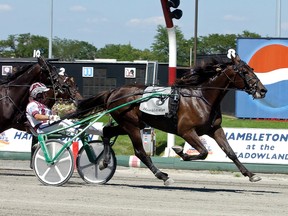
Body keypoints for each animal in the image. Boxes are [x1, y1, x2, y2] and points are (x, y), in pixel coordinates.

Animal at [76, 52, 268, 186]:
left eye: (252, 69)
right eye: (244, 71)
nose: (262, 90)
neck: (202, 97)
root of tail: (114, 92)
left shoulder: (214, 129)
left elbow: (230, 152)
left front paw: (251, 175)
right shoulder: (186, 131)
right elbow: (203, 152)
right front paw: (180, 151)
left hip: (132, 124)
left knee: (107, 131)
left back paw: (103, 162)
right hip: (131, 125)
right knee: (140, 152)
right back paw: (162, 176)